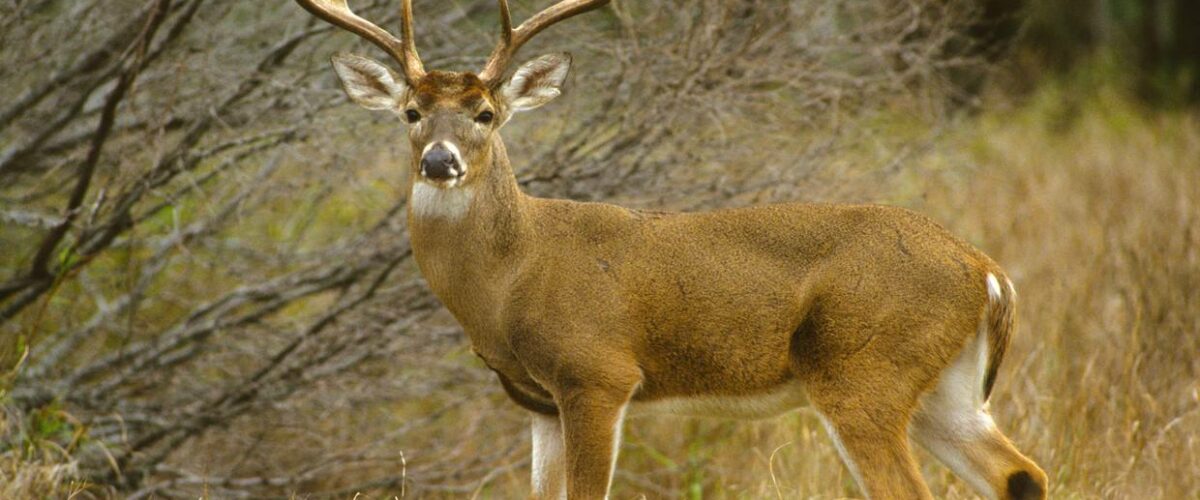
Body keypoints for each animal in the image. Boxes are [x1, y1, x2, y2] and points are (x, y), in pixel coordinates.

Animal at [295, 1, 1046, 496]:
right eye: (411, 113)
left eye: (485, 114)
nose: (439, 161)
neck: (514, 273)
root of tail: (987, 271)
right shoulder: (537, 401)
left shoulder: (598, 373)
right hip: (944, 388)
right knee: (1020, 474)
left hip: (864, 370)